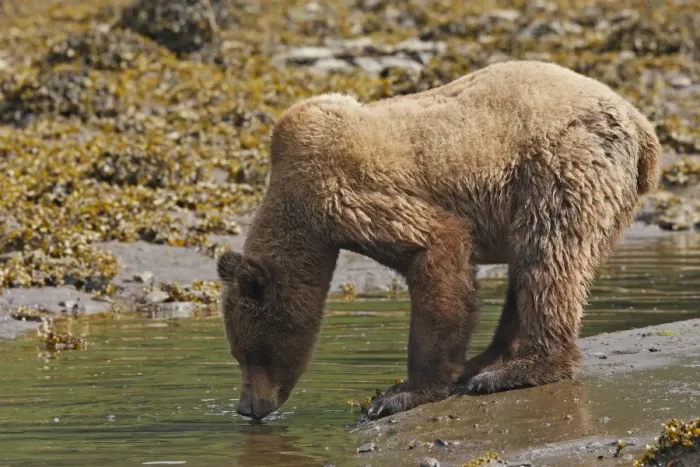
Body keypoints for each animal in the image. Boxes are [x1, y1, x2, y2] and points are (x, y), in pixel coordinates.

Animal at [216, 60, 661, 421]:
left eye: (248, 353)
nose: (247, 408)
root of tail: (643, 128)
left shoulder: (342, 192)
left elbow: (436, 244)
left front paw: (400, 393)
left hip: (562, 164)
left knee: (549, 257)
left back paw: (517, 370)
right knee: (529, 267)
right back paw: (486, 360)